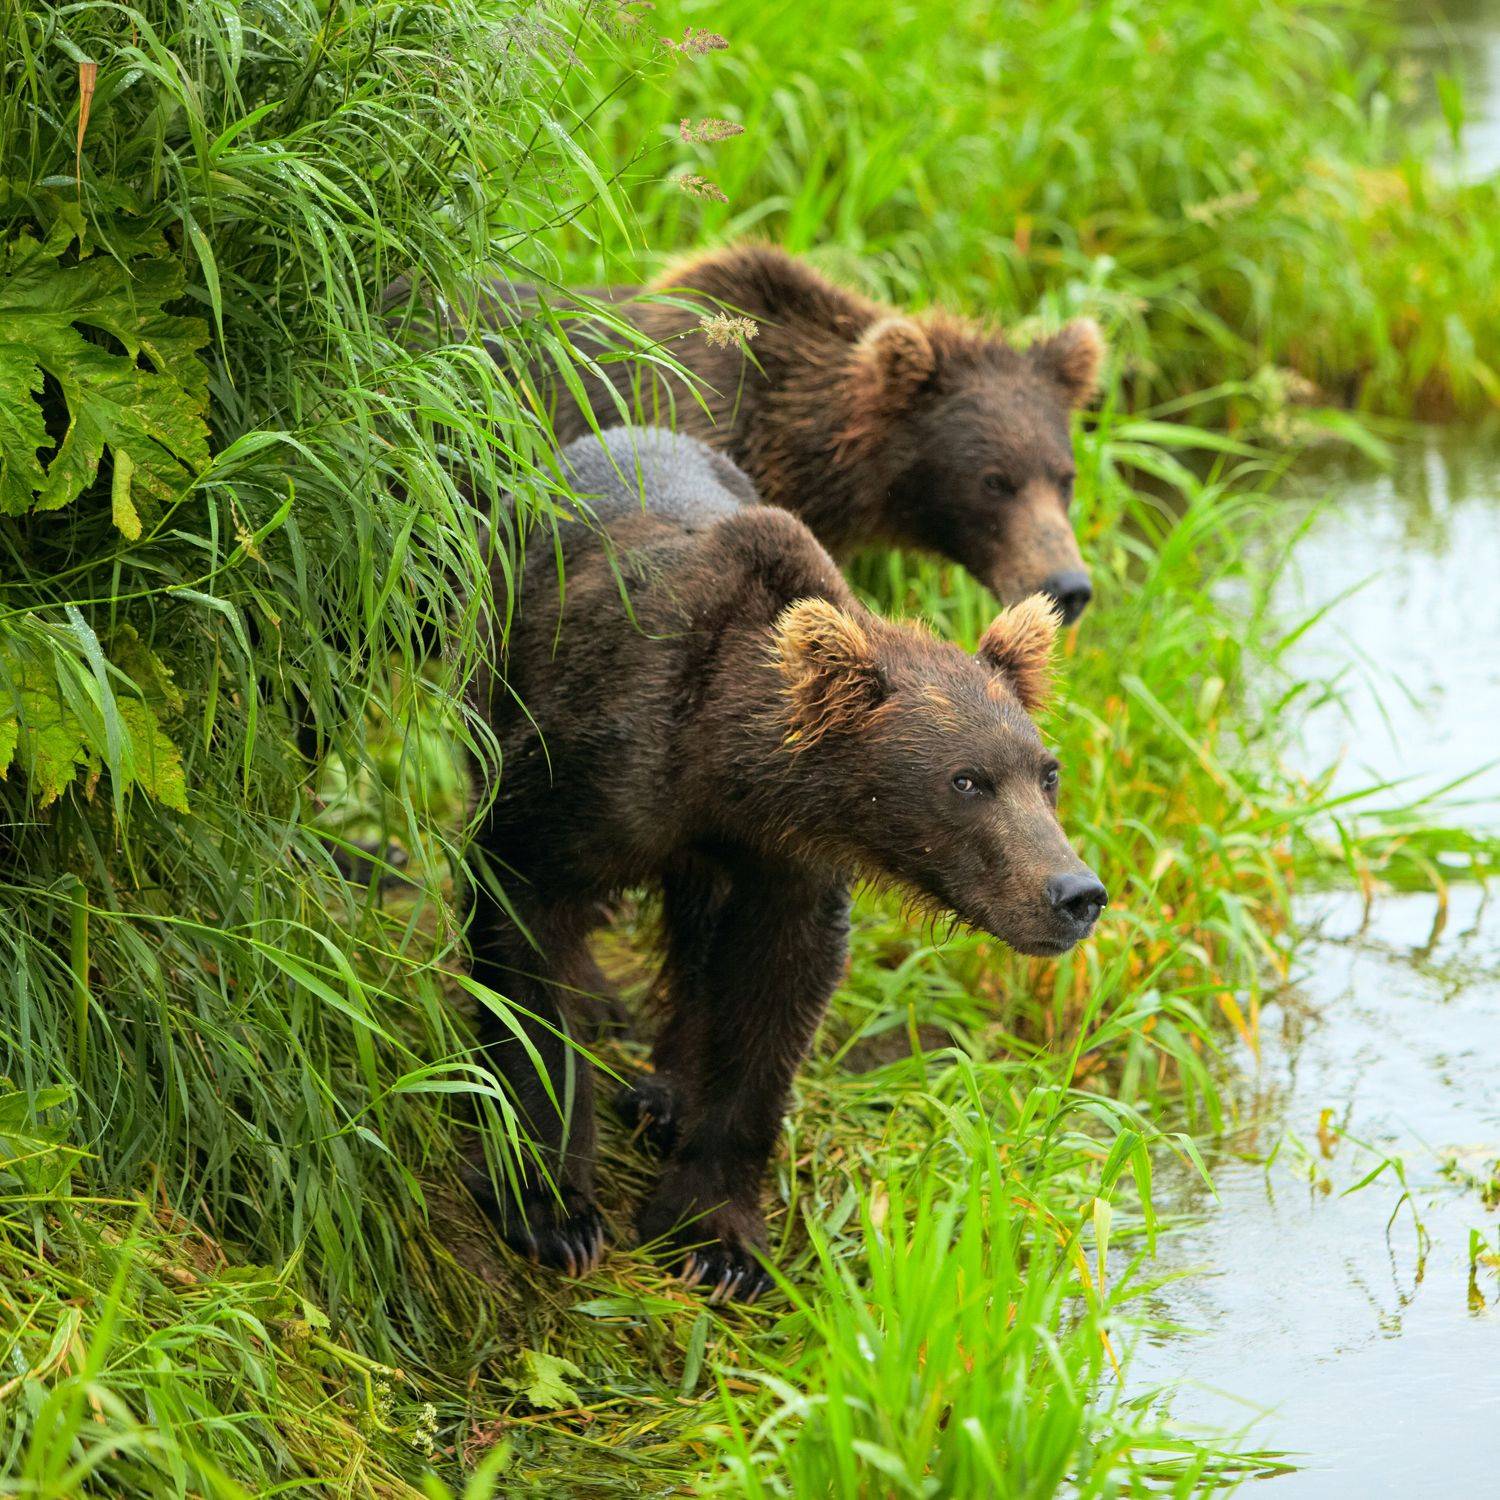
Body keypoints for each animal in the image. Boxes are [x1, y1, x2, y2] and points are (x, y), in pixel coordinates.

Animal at [465, 427, 1107, 1301]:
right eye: (966, 780)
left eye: (1046, 772)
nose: (1075, 892)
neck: (723, 771)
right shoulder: (586, 783)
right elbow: (525, 948)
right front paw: (555, 1212)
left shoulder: (787, 861)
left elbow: (772, 999)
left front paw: (716, 1239)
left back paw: (667, 1093)